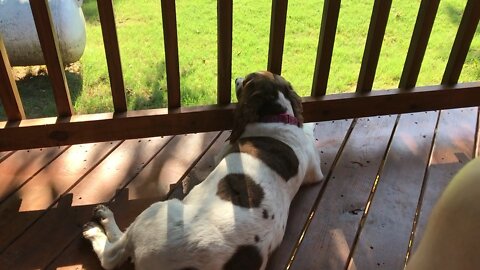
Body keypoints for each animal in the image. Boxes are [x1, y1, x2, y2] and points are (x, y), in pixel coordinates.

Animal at [82, 70, 324, 268]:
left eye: (247, 80)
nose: (236, 77)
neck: (279, 118)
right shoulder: (315, 172)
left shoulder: (222, 152)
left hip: (156, 212)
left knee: (112, 254)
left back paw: (98, 223)